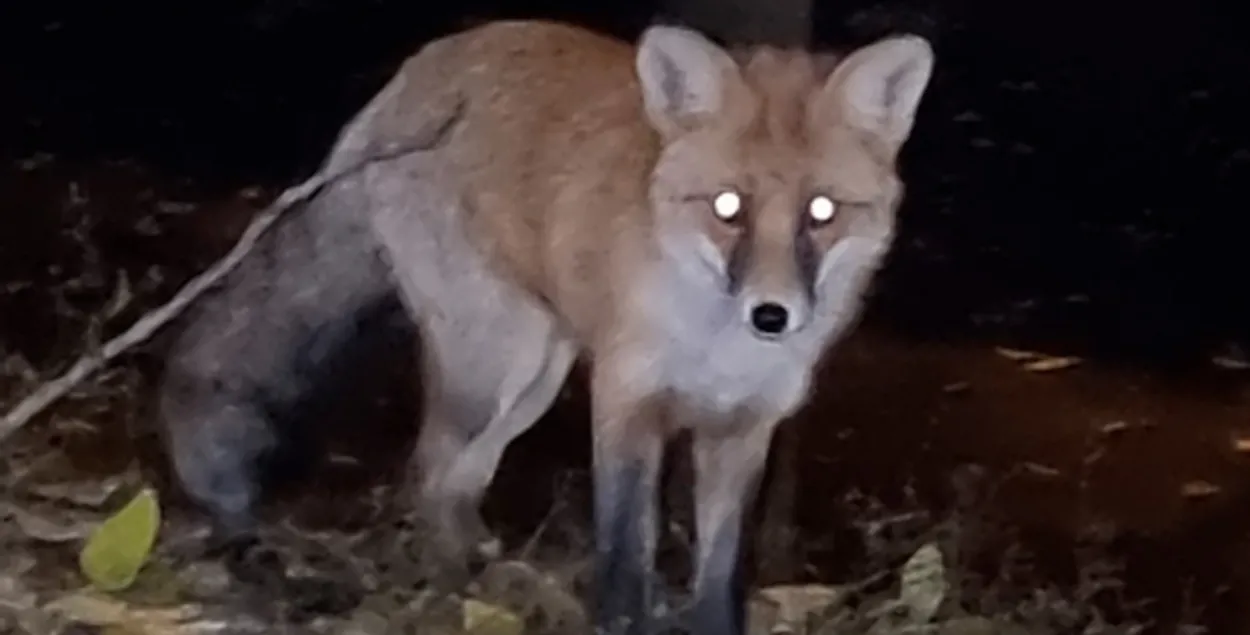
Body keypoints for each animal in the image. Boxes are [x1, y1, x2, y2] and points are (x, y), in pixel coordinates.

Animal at [157, 18, 935, 635]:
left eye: (822, 213)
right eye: (727, 207)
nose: (771, 315)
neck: (716, 346)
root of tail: (421, 66)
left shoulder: (742, 430)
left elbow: (717, 574)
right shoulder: (626, 402)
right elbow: (623, 554)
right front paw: (619, 623)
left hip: (533, 379)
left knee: (456, 485)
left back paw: (495, 581)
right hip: (501, 365)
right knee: (427, 473)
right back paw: (456, 595)